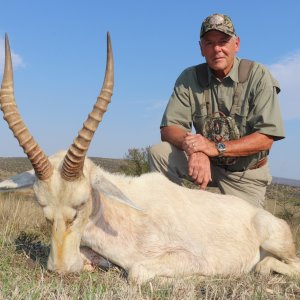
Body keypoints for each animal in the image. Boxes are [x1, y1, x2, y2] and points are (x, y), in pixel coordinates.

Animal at [0, 33, 300, 284]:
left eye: (81, 203)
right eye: (42, 207)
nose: (60, 268)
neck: (128, 215)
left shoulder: (190, 257)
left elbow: (137, 271)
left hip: (276, 242)